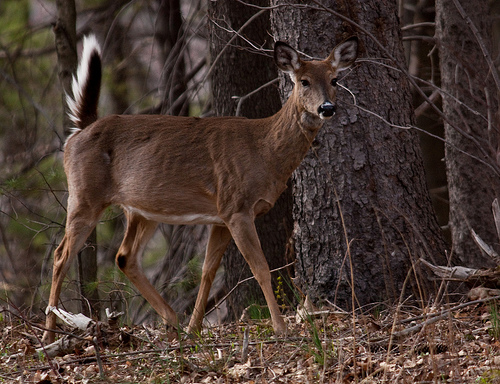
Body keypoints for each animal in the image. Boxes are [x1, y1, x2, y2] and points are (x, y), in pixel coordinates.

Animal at [42, 34, 356, 344]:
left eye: (334, 79)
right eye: (304, 80)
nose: (327, 108)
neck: (264, 151)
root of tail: (79, 131)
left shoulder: (221, 215)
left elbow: (208, 271)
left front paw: (194, 329)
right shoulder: (237, 207)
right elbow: (261, 269)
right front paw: (281, 329)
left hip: (142, 210)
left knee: (124, 257)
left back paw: (172, 320)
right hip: (84, 194)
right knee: (61, 255)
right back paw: (48, 333)